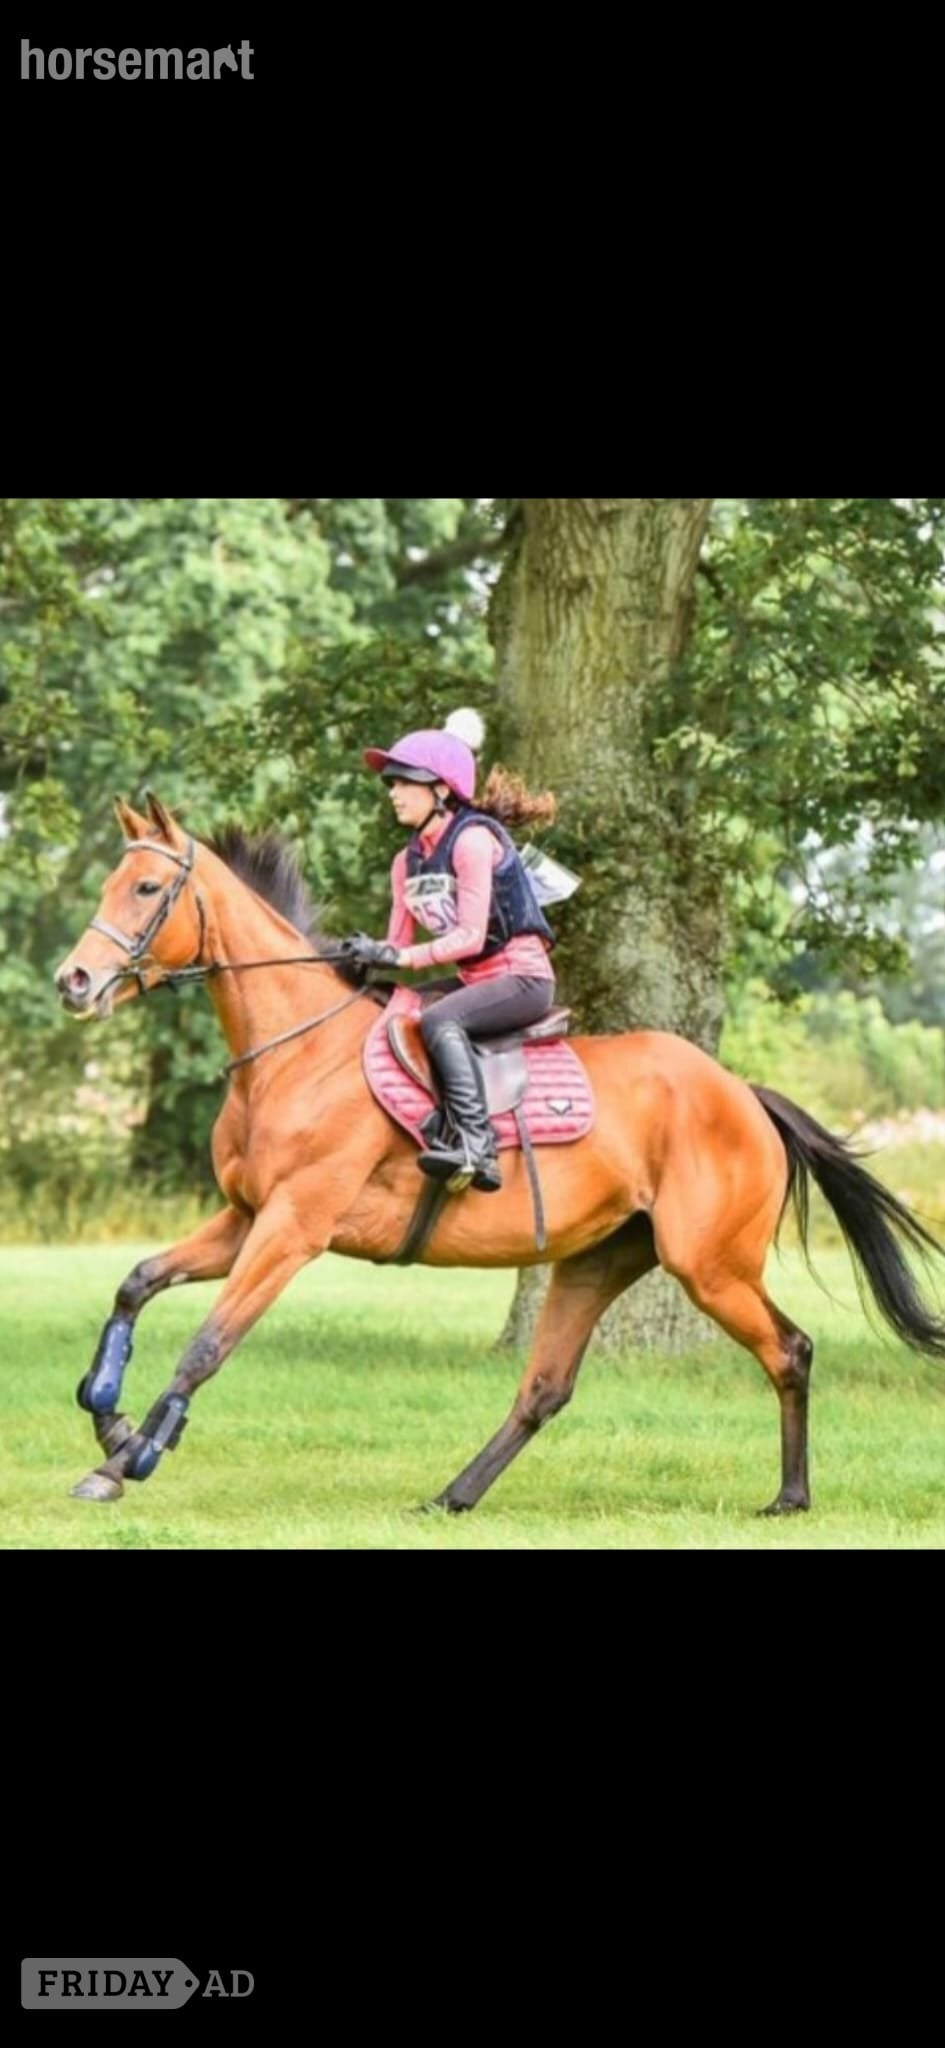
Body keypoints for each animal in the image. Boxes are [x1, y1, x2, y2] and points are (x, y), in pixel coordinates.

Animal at [53, 791, 945, 1516]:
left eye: (144, 889)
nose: (74, 981)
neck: (295, 1050)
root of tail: (743, 1094)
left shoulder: (293, 1228)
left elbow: (207, 1344)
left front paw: (130, 1461)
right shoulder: (245, 1218)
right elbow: (136, 1284)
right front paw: (109, 1422)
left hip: (709, 1264)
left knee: (788, 1350)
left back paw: (789, 1497)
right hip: (600, 1259)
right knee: (544, 1388)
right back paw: (452, 1495)